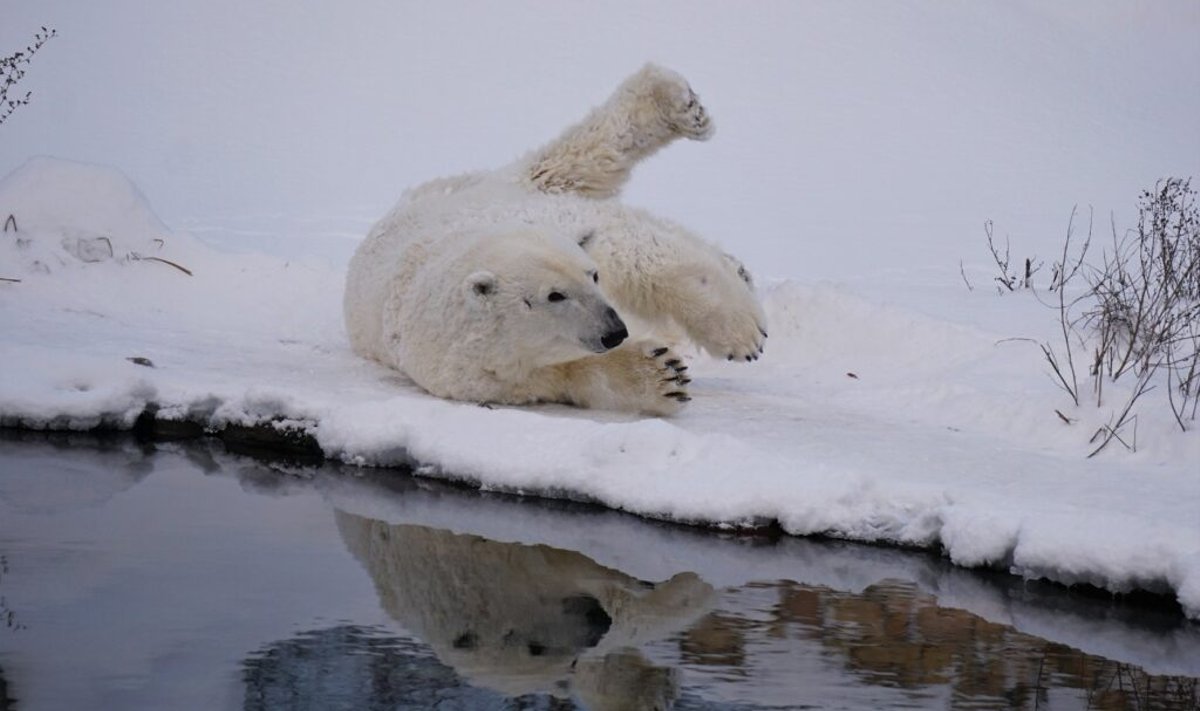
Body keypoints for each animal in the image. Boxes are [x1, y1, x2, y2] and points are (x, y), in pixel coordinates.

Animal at [343, 64, 763, 415]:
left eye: (592, 276)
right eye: (554, 296)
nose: (616, 329)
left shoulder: (561, 229)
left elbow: (640, 254)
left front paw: (743, 335)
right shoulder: (487, 374)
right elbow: (572, 373)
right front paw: (662, 374)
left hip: (499, 189)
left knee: (573, 159)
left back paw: (681, 104)